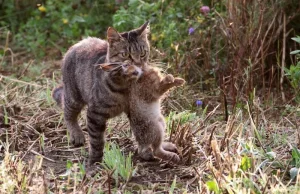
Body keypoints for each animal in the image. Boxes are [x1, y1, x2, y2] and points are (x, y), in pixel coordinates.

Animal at [53, 22, 151, 165]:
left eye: (143, 53)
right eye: (125, 55)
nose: (139, 64)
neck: (126, 87)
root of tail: (79, 42)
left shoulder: (136, 109)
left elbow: (141, 131)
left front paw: (145, 151)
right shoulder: (95, 113)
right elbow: (96, 140)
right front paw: (95, 160)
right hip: (73, 96)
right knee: (68, 113)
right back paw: (76, 135)